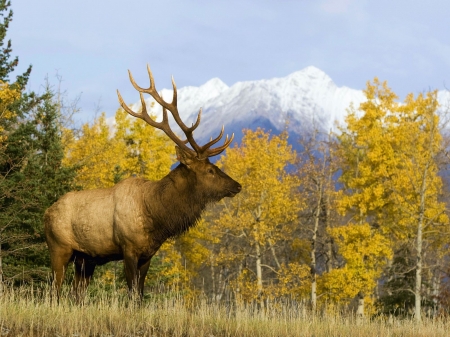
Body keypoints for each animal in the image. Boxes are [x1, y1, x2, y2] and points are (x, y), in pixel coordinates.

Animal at [44, 65, 243, 296]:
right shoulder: (128, 248)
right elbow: (132, 293)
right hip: (59, 247)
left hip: (85, 258)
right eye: (210, 170)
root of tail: (46, 213)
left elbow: (139, 293)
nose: (237, 185)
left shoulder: (148, 254)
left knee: (77, 293)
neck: (157, 216)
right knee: (54, 290)